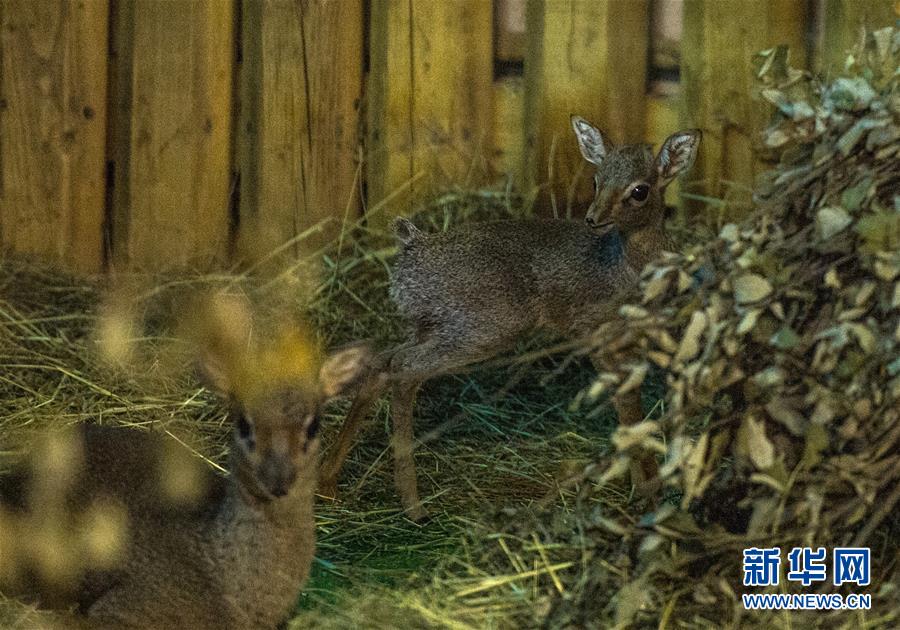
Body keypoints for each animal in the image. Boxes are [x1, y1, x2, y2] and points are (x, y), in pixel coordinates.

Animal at [320, 117, 700, 520]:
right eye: (596, 180)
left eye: (640, 190)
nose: (594, 219)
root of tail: (412, 248)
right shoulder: (601, 340)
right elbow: (632, 416)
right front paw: (649, 499)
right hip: (482, 330)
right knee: (404, 369)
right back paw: (413, 505)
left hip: (429, 327)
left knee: (382, 361)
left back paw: (329, 485)